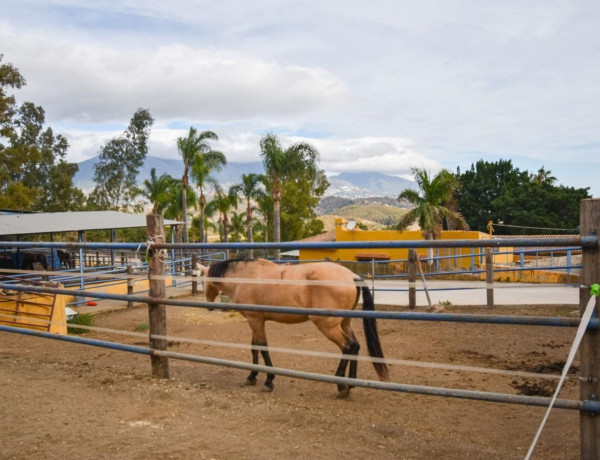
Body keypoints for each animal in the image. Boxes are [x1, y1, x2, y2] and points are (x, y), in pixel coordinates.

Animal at [198, 256, 390, 398]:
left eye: (202, 280)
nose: (209, 304)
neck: (245, 277)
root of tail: (352, 276)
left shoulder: (255, 320)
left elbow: (263, 348)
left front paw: (268, 380)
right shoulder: (256, 321)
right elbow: (254, 348)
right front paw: (252, 376)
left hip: (328, 326)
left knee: (347, 346)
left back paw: (341, 385)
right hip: (344, 323)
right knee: (355, 345)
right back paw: (350, 384)